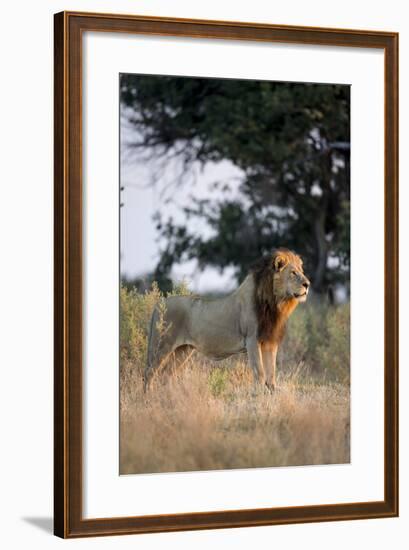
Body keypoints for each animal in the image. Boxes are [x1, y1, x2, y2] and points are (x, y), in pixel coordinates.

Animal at [143, 250, 310, 392]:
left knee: (166, 375)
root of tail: (158, 304)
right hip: (162, 346)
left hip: (183, 350)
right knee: (149, 373)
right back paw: (148, 397)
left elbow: (271, 374)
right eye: (293, 273)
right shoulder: (252, 340)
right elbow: (260, 373)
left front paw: (271, 394)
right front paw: (259, 395)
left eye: (302, 272)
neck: (275, 303)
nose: (307, 284)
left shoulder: (270, 341)